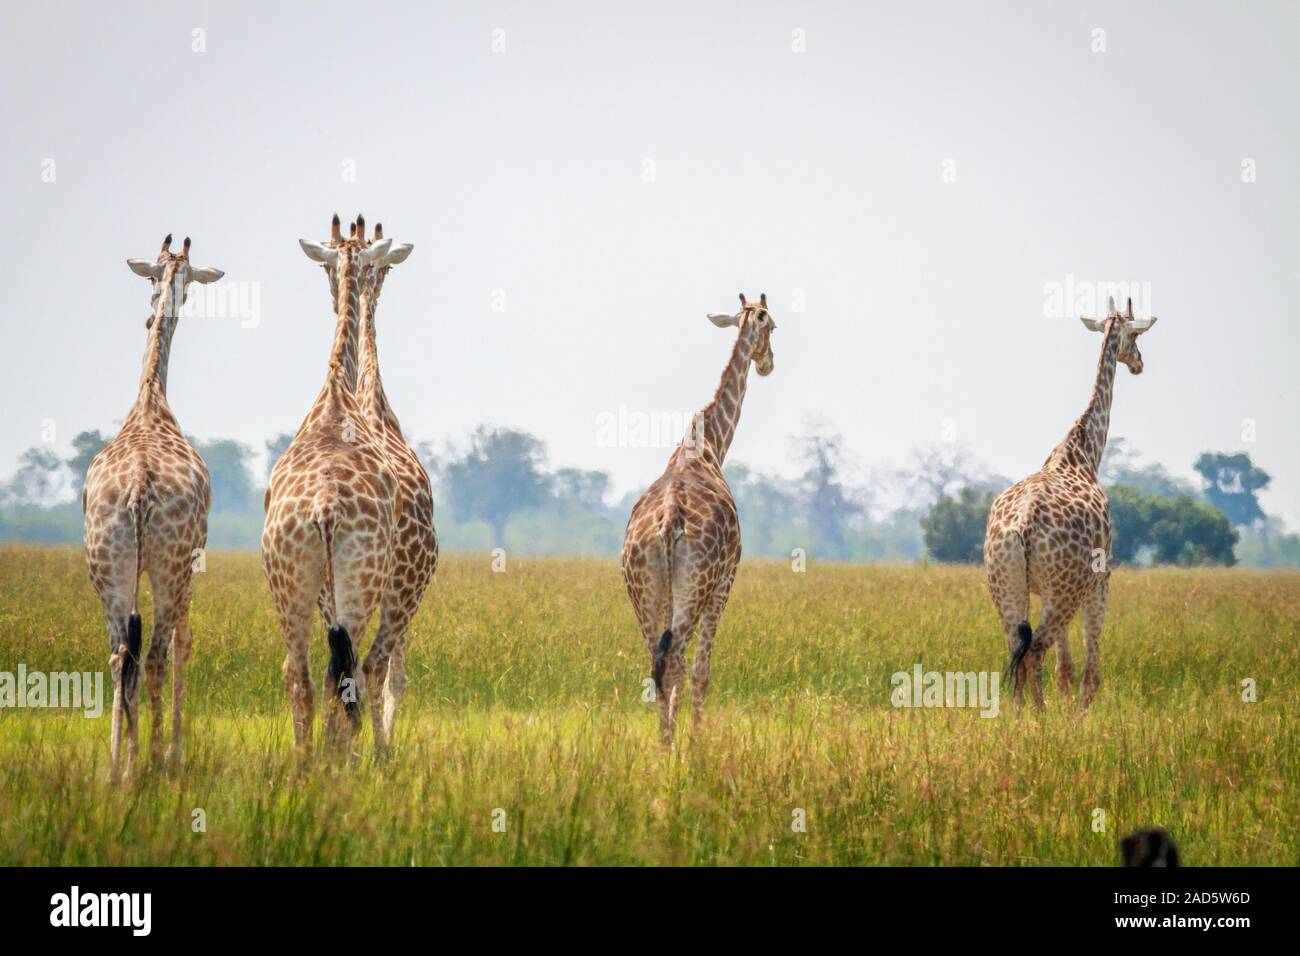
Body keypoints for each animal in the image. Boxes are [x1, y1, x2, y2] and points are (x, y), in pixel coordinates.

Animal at [82, 235, 223, 780]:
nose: (155, 311)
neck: (150, 401)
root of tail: (140, 488)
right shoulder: (193, 563)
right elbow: (185, 645)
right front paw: (176, 750)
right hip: (168, 564)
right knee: (157, 654)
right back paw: (154, 761)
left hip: (108, 567)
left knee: (122, 656)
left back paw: (117, 766)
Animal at [265, 217, 400, 754]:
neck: (336, 395)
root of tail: (323, 509)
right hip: (357, 585)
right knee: (349, 672)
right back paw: (333, 759)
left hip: (290, 583)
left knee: (299, 673)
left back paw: (307, 761)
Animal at [616, 291, 769, 749]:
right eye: (772, 326)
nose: (768, 362)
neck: (707, 445)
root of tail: (668, 523)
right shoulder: (725, 582)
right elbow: (703, 672)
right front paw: (699, 741)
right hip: (694, 588)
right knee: (678, 663)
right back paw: (674, 746)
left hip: (644, 593)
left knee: (658, 663)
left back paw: (663, 743)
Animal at [982, 299, 1159, 712]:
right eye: (1136, 336)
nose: (1140, 363)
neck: (1082, 453)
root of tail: (1022, 526)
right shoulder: (1101, 579)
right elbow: (1089, 671)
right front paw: (1077, 716)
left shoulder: (1048, 589)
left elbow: (1065, 668)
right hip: (1064, 590)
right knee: (1035, 649)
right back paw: (1040, 716)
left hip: (1007, 586)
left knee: (1018, 649)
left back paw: (1021, 716)